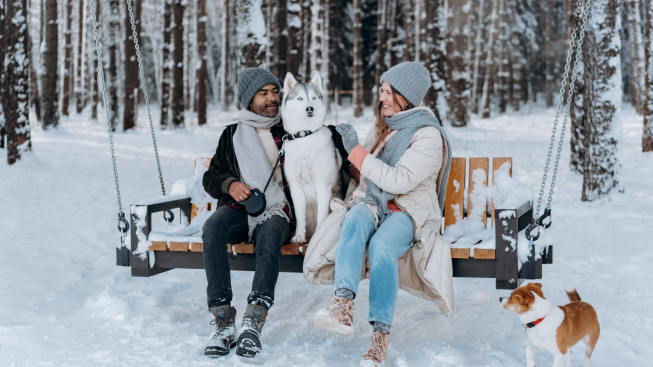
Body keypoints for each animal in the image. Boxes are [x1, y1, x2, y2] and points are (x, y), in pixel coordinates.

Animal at [280, 72, 342, 244]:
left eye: (313, 98)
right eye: (300, 98)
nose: (310, 108)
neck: (305, 136)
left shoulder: (322, 186)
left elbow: (322, 217)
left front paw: (317, 237)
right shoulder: (296, 188)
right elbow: (300, 218)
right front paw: (299, 236)